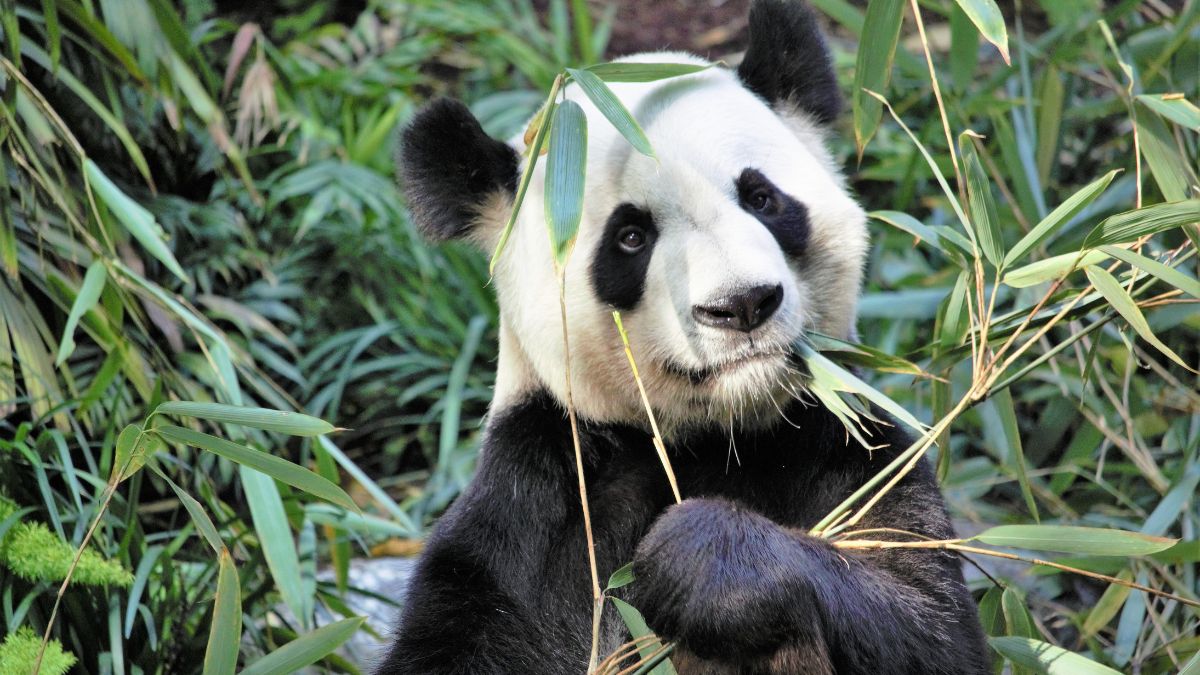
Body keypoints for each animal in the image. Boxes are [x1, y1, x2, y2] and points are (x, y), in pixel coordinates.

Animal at [379, 1, 990, 673]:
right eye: (630, 237)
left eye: (762, 198)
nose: (741, 304)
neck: (713, 440)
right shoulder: (540, 502)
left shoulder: (845, 445)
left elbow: (926, 622)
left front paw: (702, 563)